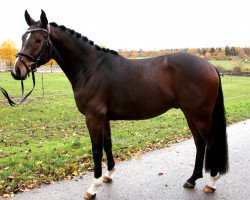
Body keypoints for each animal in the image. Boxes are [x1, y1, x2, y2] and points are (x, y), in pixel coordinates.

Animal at [12, 10, 229, 199]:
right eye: (23, 38)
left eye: (39, 40)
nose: (17, 70)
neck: (90, 68)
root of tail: (210, 65)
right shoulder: (104, 118)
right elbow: (107, 143)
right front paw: (109, 175)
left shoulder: (93, 117)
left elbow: (96, 149)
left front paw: (93, 187)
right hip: (189, 113)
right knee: (200, 143)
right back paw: (192, 180)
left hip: (200, 115)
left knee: (211, 143)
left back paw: (211, 182)